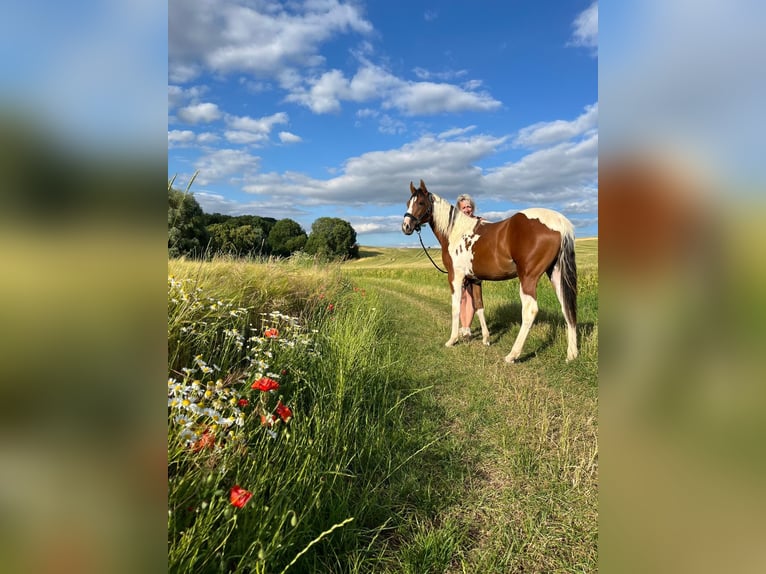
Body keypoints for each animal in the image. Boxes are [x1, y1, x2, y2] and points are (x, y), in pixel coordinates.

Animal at [401, 179, 578, 363]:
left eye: (421, 203)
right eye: (408, 203)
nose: (406, 226)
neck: (456, 233)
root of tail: (559, 221)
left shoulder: (455, 276)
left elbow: (456, 307)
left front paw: (452, 340)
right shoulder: (474, 279)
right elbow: (479, 306)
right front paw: (486, 339)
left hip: (528, 277)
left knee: (530, 310)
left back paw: (512, 355)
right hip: (556, 273)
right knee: (567, 307)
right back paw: (571, 355)